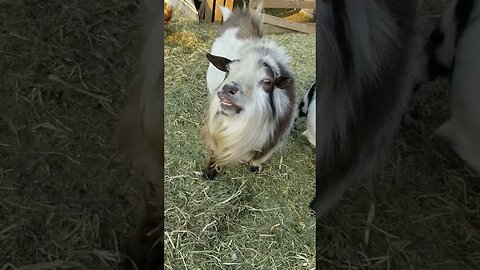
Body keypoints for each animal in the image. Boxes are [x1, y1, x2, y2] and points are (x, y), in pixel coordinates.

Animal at [202, 4, 296, 179]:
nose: (228, 89)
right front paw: (209, 172)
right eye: (227, 70)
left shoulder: (270, 142)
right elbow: (214, 150)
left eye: (267, 82)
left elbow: (258, 159)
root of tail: (240, 15)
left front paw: (255, 167)